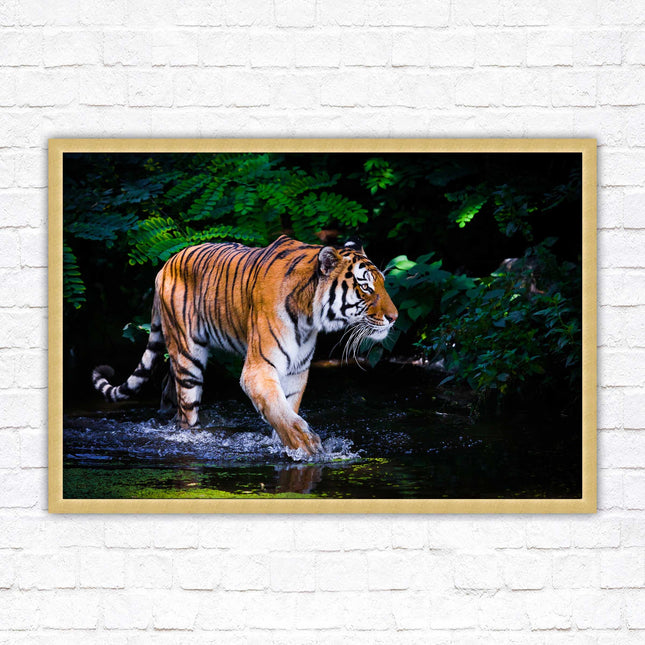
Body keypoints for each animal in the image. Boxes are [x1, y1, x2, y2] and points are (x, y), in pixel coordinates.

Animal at [92, 235, 398, 457]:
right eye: (366, 287)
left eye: (383, 283)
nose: (394, 317)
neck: (310, 317)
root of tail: (165, 265)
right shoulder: (259, 369)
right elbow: (279, 411)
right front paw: (305, 444)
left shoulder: (296, 372)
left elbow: (286, 408)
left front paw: (286, 445)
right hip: (188, 356)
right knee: (187, 411)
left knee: (170, 393)